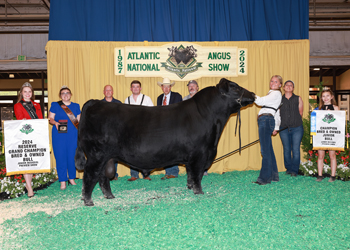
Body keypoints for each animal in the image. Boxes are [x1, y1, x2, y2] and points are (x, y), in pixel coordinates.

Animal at [75, 78, 254, 207]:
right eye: (235, 88)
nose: (253, 94)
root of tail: (95, 102)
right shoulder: (200, 154)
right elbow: (197, 174)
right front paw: (199, 192)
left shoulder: (192, 157)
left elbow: (190, 174)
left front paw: (189, 187)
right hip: (96, 155)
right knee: (89, 175)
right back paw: (88, 201)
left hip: (107, 158)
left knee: (103, 177)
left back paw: (109, 196)